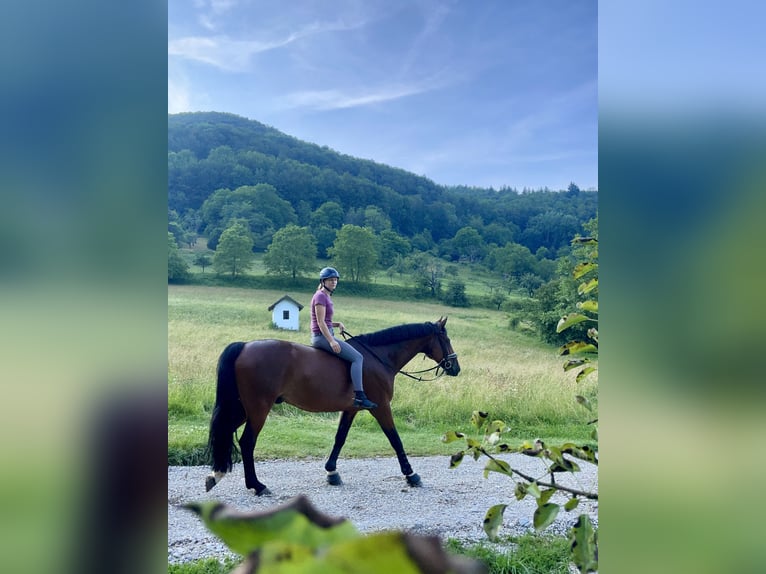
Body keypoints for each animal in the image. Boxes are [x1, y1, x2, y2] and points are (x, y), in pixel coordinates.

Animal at [204, 318, 462, 498]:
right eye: (447, 339)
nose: (456, 367)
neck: (378, 357)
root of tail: (245, 346)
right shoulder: (381, 407)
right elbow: (395, 439)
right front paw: (411, 474)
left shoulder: (351, 409)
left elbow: (340, 438)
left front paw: (332, 472)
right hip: (258, 409)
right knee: (247, 442)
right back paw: (257, 485)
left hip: (242, 408)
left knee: (225, 431)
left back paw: (215, 475)